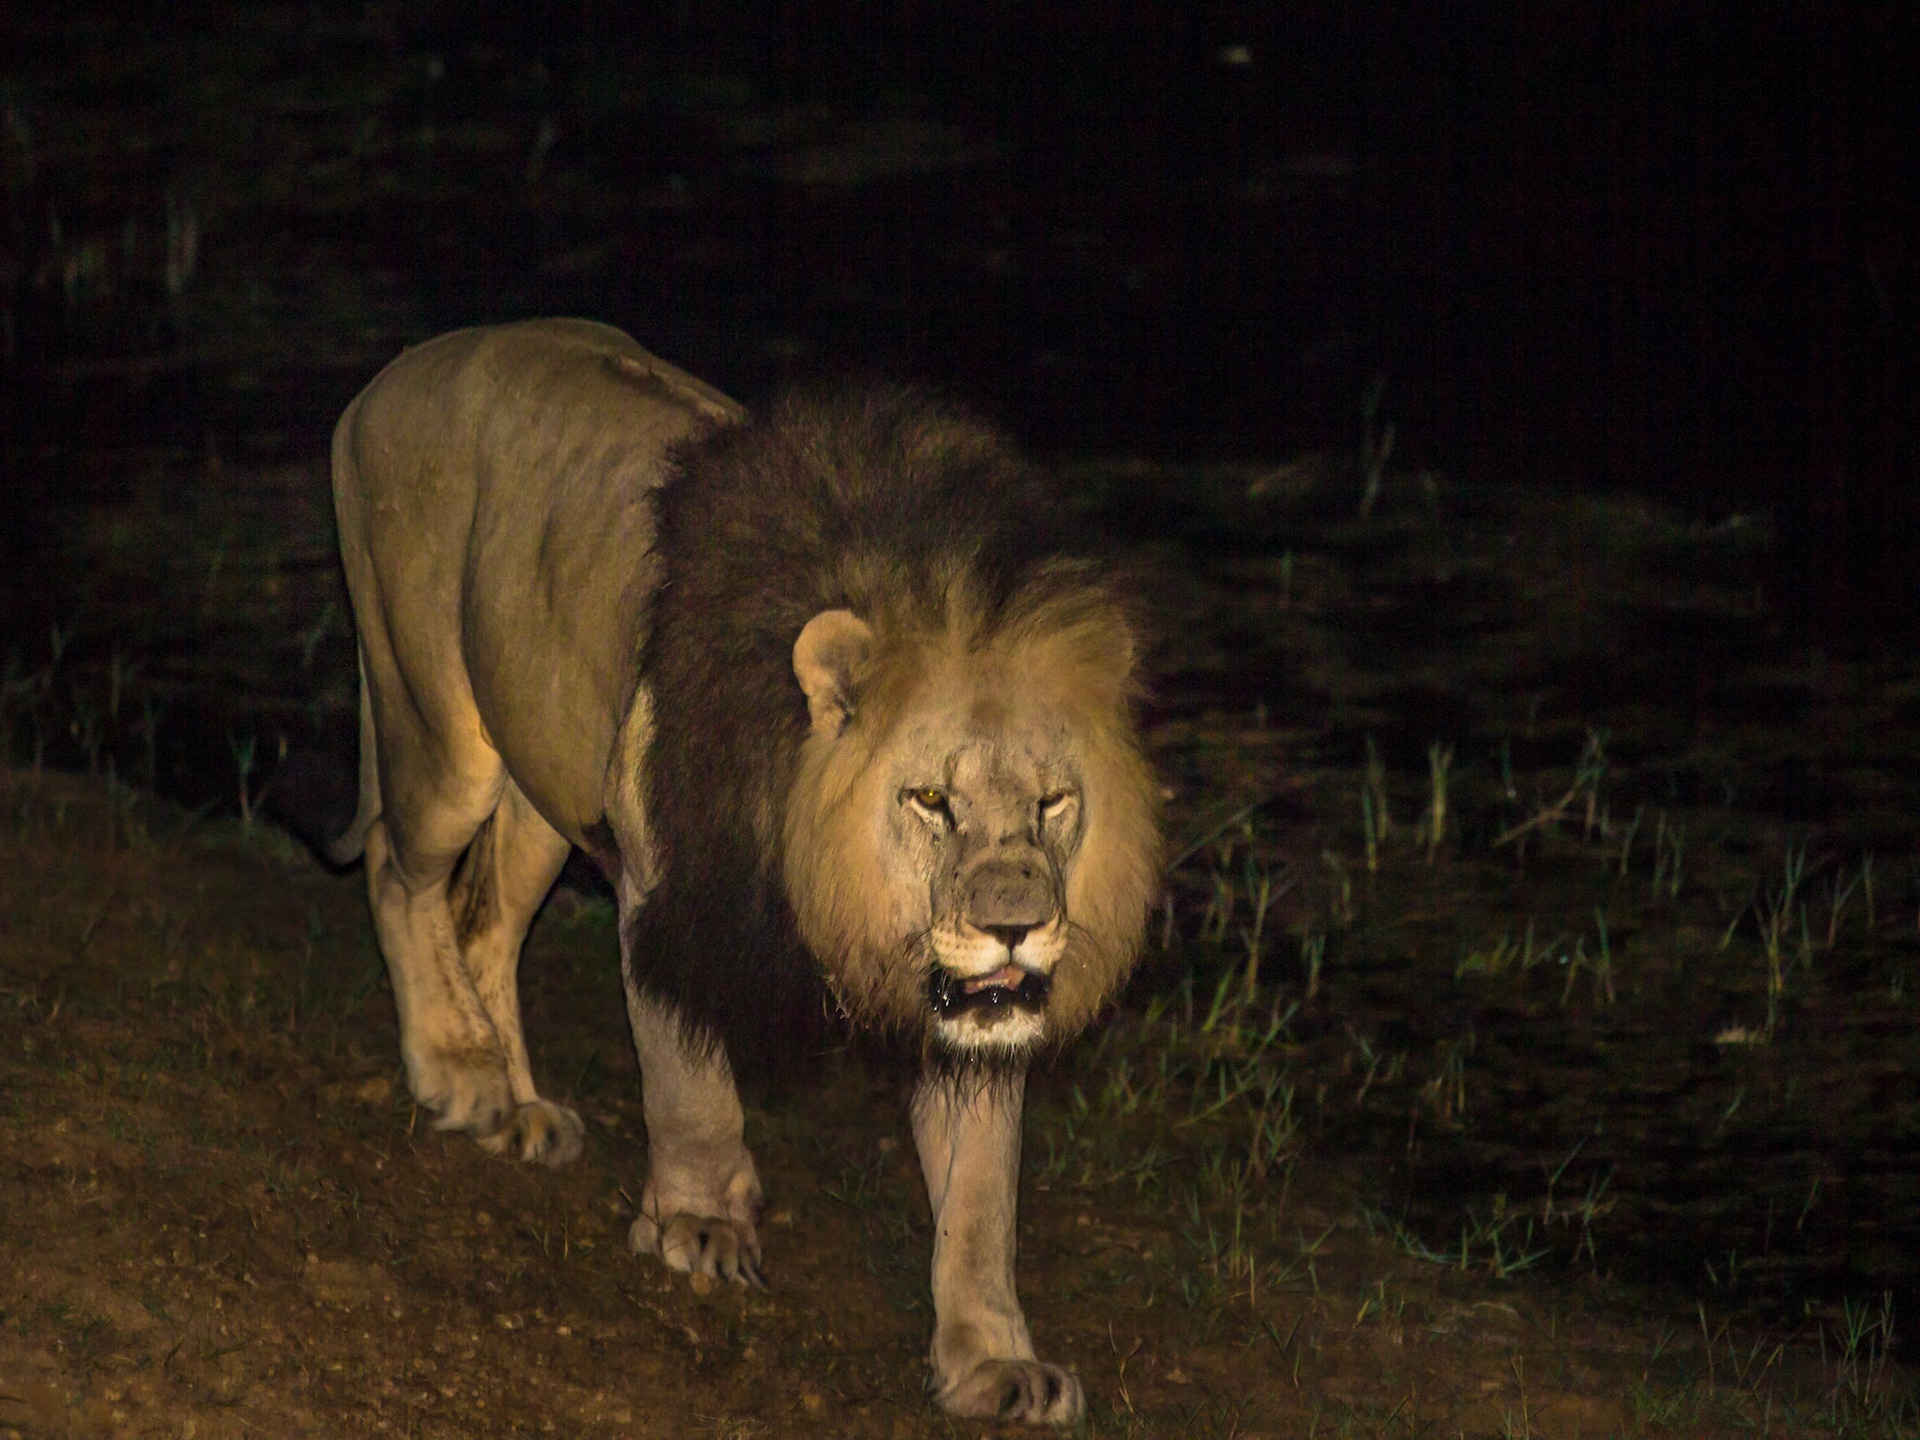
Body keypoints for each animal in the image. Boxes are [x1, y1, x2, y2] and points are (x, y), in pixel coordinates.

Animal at [327, 318, 1161, 1425]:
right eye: (930, 801)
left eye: (1054, 802)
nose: (1016, 926)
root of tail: (389, 376)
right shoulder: (663, 886)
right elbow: (689, 1079)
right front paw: (700, 1223)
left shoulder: (969, 1009)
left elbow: (982, 1196)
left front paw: (993, 1360)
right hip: (440, 731)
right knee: (397, 868)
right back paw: (459, 1069)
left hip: (543, 786)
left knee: (484, 924)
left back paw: (519, 1107)